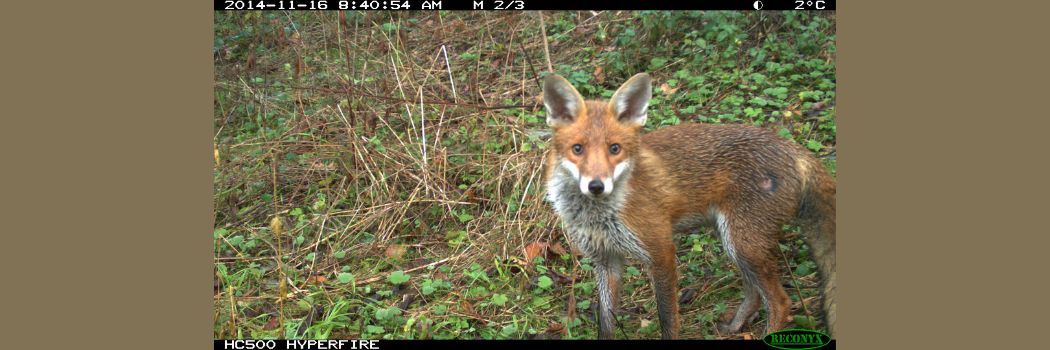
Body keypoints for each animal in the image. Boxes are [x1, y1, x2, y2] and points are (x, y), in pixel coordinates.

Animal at [541, 71, 835, 338]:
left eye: (615, 149)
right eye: (577, 149)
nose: (596, 186)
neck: (599, 215)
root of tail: (793, 148)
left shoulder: (661, 252)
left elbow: (667, 318)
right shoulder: (605, 260)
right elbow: (605, 323)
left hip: (743, 244)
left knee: (781, 302)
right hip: (735, 243)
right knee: (754, 293)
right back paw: (734, 326)